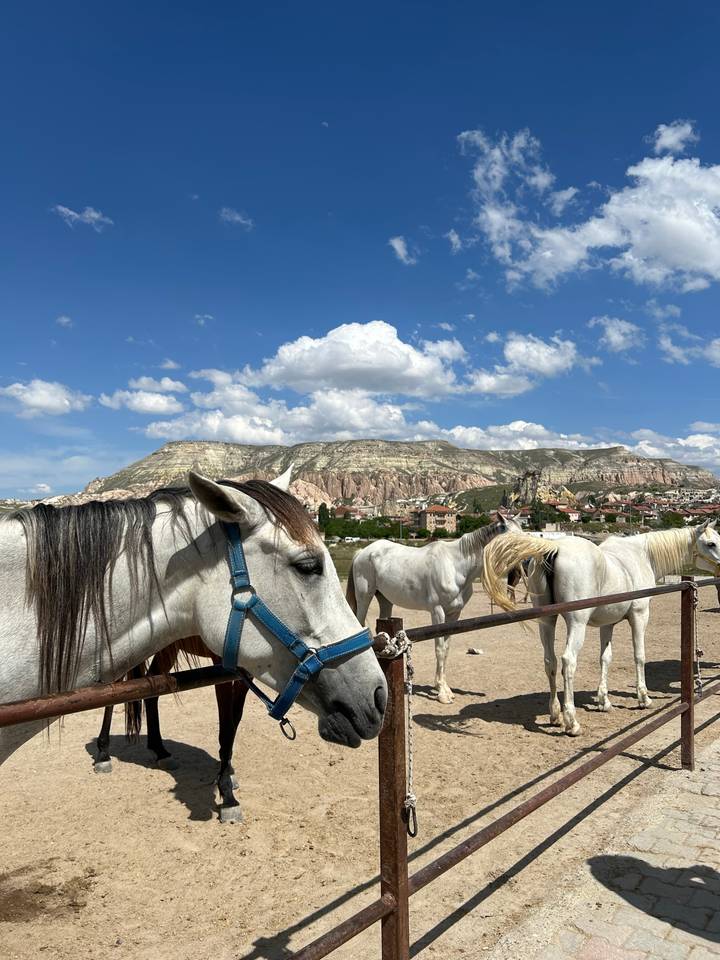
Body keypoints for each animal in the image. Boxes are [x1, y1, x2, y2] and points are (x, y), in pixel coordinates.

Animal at [0, 468, 387, 770]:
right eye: (308, 566)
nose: (380, 696)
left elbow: (231, 722)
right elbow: (226, 723)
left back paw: (156, 748)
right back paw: (105, 752)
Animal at [94, 636, 250, 821]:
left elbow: (235, 719)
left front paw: (228, 774)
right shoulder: (221, 666)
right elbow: (227, 727)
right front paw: (228, 797)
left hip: (168, 648)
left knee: (152, 685)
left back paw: (161, 752)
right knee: (113, 687)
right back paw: (103, 754)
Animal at [346, 515, 522, 703]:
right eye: (513, 538)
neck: (455, 566)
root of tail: (362, 552)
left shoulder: (454, 614)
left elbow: (446, 649)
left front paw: (443, 687)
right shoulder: (438, 612)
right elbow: (439, 649)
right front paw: (442, 694)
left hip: (386, 602)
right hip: (365, 597)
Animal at [482, 521, 720, 736]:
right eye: (711, 543)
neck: (641, 555)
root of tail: (552, 548)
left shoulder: (607, 624)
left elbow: (605, 658)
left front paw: (604, 701)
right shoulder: (639, 615)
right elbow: (639, 655)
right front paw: (644, 698)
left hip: (547, 621)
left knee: (550, 662)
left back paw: (555, 715)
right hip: (577, 623)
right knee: (568, 662)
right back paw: (572, 722)